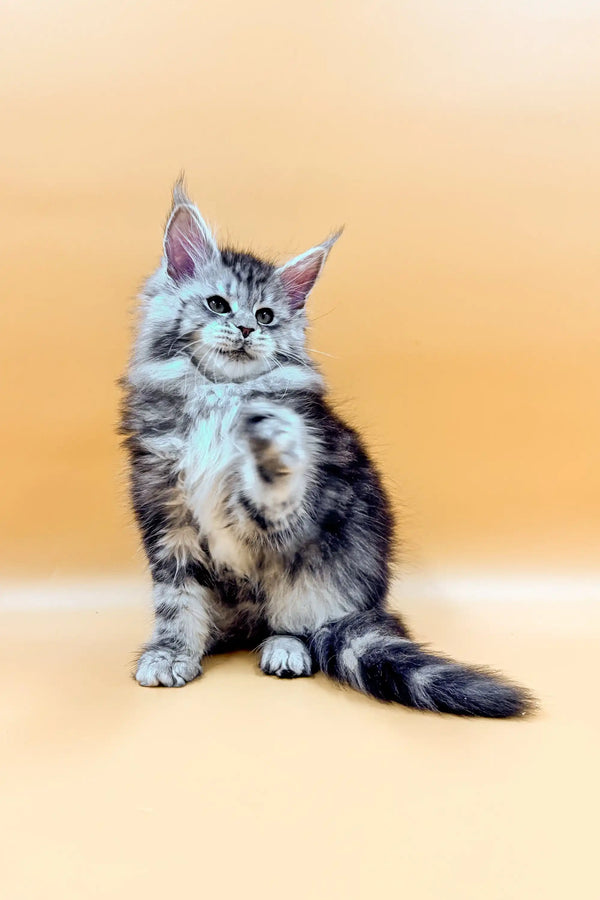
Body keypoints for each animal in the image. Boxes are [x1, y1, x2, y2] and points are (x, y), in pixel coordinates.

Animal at [119, 183, 532, 716]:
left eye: (266, 316)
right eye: (218, 305)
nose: (249, 330)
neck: (219, 396)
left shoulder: (304, 506)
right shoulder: (166, 513)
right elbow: (177, 601)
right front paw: (171, 653)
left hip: (320, 571)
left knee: (298, 624)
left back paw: (285, 649)